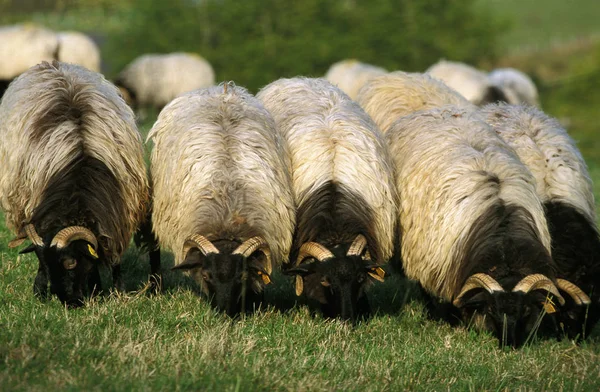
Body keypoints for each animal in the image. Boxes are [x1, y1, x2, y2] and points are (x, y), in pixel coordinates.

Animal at [0, 61, 150, 306]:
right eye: (43, 262)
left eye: (70, 262)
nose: (69, 302)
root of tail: (52, 63)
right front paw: (40, 291)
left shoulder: (118, 217)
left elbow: (112, 258)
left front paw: (111, 290)